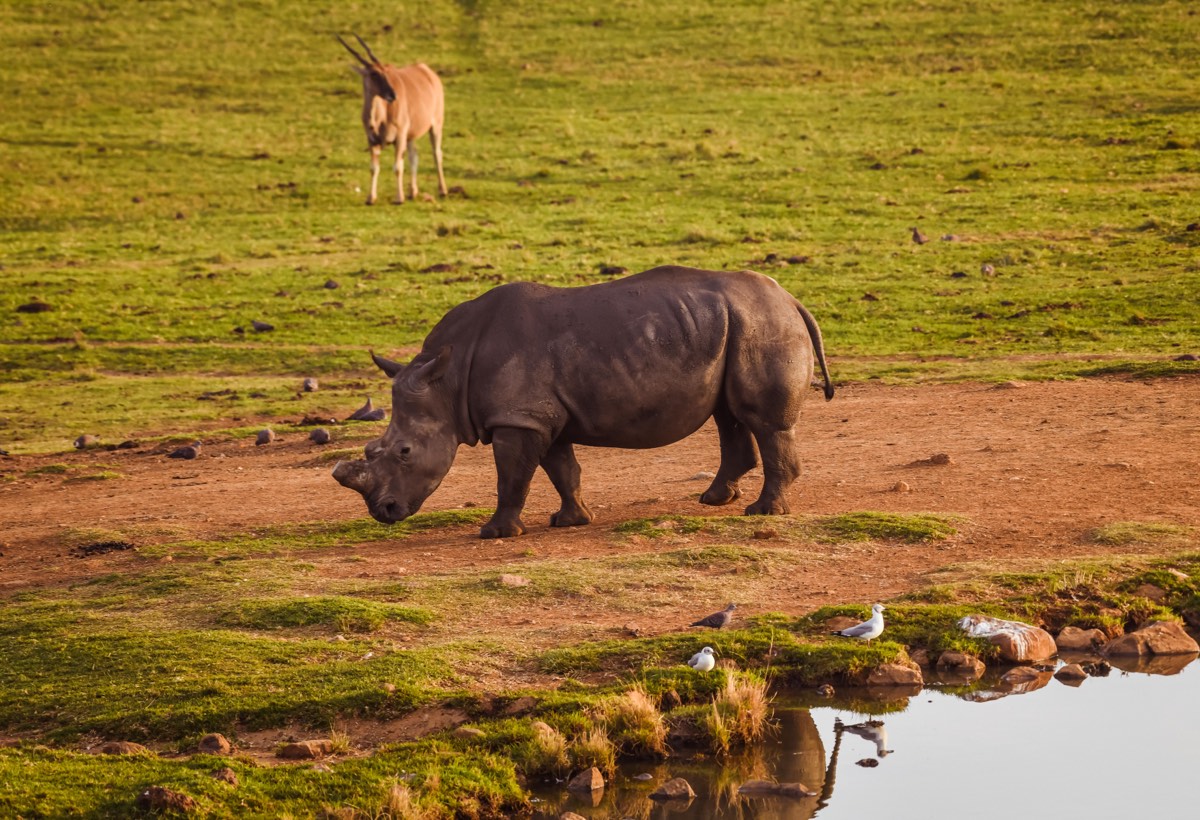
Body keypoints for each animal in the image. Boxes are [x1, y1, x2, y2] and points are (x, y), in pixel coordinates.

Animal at [333, 265, 833, 538]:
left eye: (404, 452)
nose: (383, 513)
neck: (447, 380)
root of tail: (790, 298)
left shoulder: (518, 418)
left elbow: (512, 478)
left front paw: (494, 533)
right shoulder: (539, 416)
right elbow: (562, 469)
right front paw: (570, 520)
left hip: (761, 323)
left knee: (762, 421)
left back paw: (763, 511)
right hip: (737, 323)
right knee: (728, 415)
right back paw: (715, 499)